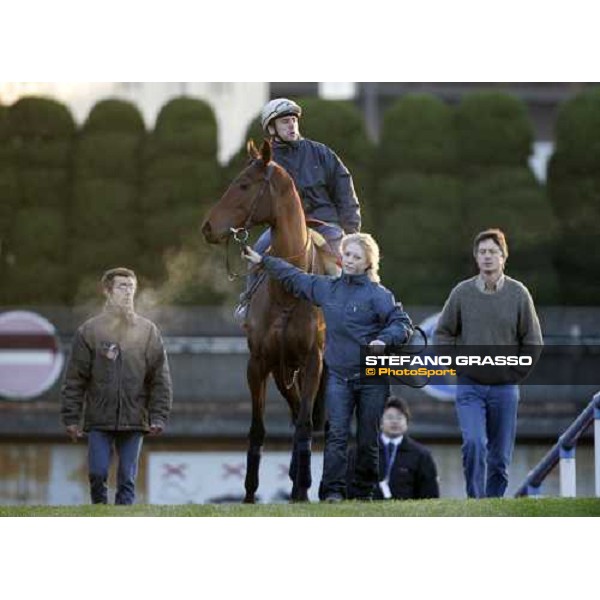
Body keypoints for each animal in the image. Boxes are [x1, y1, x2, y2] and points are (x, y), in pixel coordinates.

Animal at [200, 138, 324, 500]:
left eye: (243, 184)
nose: (208, 227)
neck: (290, 289)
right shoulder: (259, 363)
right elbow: (257, 428)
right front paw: (249, 493)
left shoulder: (313, 361)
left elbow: (306, 424)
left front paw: (299, 491)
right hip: (283, 372)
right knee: (296, 411)